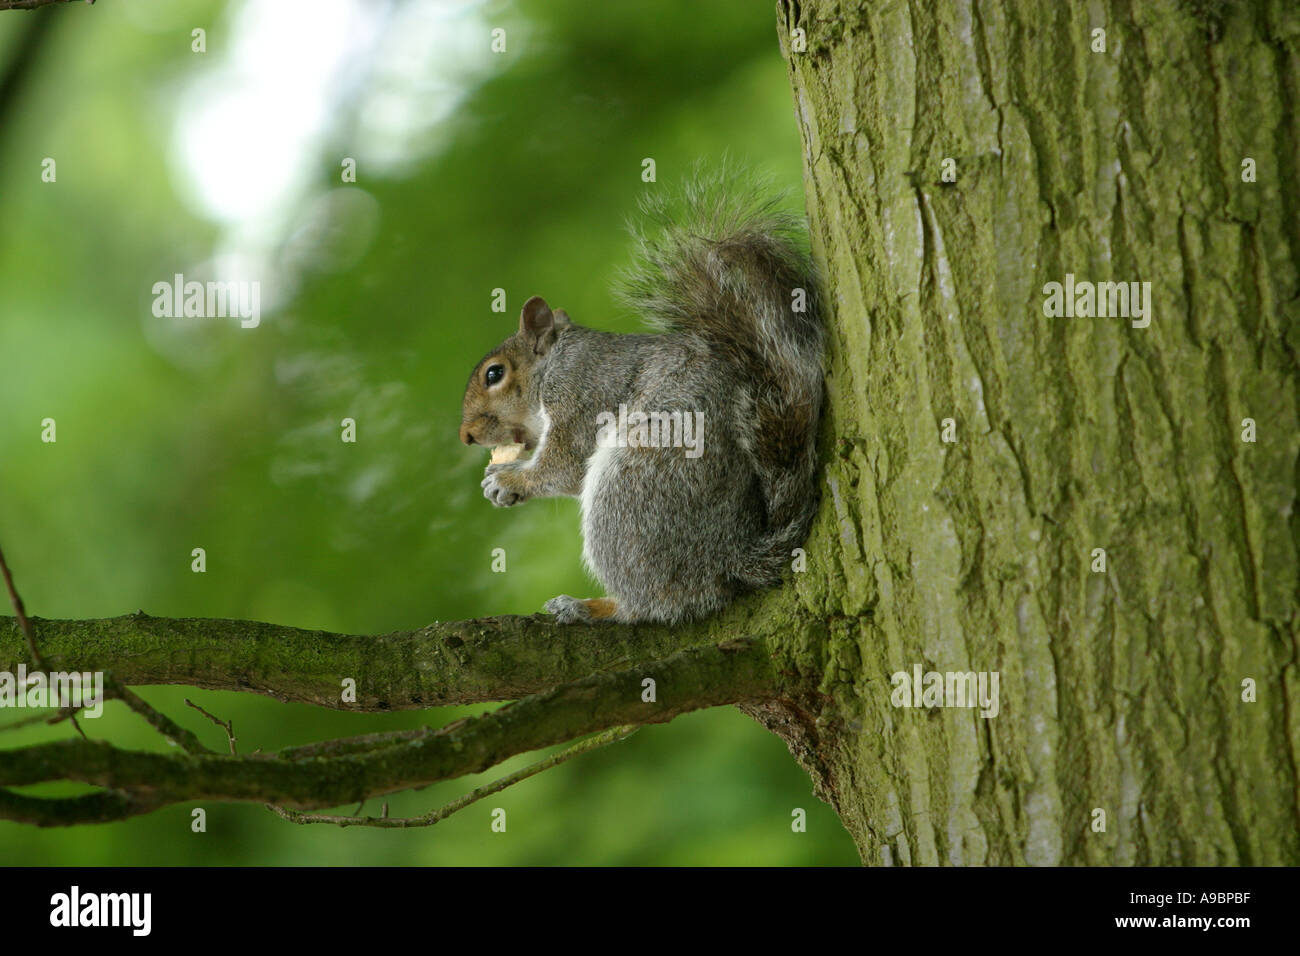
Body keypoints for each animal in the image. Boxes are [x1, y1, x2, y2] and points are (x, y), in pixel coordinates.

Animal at [458, 174, 824, 624]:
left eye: (495, 374)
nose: (467, 436)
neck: (553, 365)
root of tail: (729, 559)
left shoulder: (583, 391)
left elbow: (565, 465)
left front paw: (509, 479)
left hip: (632, 486)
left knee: (650, 602)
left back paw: (593, 606)